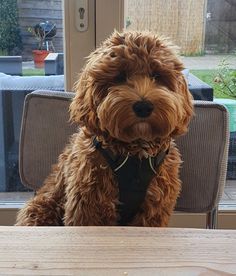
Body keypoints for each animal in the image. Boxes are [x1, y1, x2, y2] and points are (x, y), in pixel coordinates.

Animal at [16, 30, 194, 226]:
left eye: (157, 76)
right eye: (120, 77)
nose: (143, 107)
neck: (134, 153)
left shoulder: (153, 209)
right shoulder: (88, 204)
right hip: (41, 207)